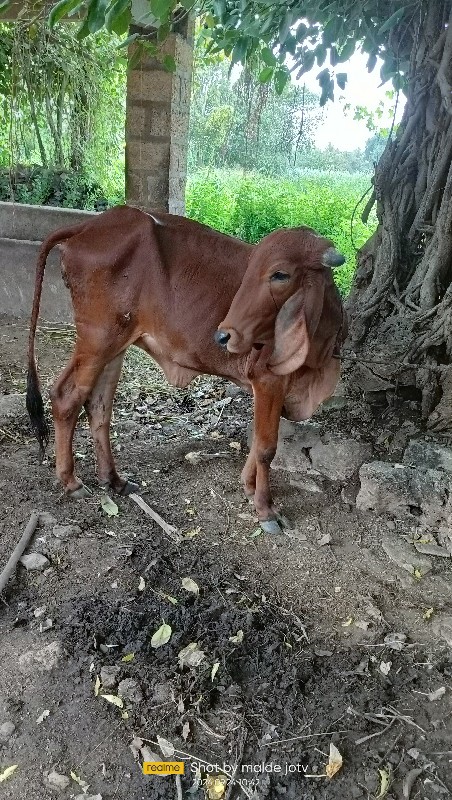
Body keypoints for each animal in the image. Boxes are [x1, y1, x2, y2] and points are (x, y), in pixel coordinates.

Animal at [26, 206, 346, 532]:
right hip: (97, 339)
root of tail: (89, 225)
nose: (224, 335)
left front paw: (248, 487)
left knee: (99, 407)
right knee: (66, 397)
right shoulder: (268, 380)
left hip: (115, 345)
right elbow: (266, 448)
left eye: (280, 274)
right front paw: (265, 510)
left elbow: (256, 440)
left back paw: (113, 480)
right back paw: (71, 481)